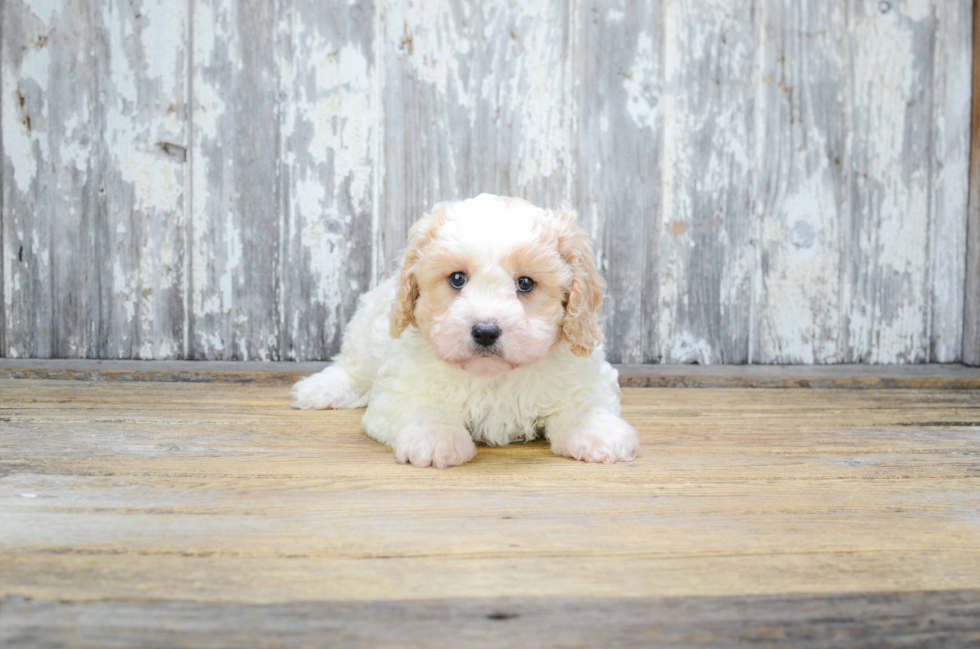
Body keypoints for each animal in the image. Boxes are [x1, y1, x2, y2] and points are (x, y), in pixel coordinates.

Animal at [290, 192, 644, 466]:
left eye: (525, 283)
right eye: (457, 279)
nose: (485, 331)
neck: (493, 377)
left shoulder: (585, 377)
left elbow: (585, 404)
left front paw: (600, 433)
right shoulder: (401, 389)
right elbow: (424, 406)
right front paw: (436, 439)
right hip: (366, 329)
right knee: (352, 366)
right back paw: (320, 389)